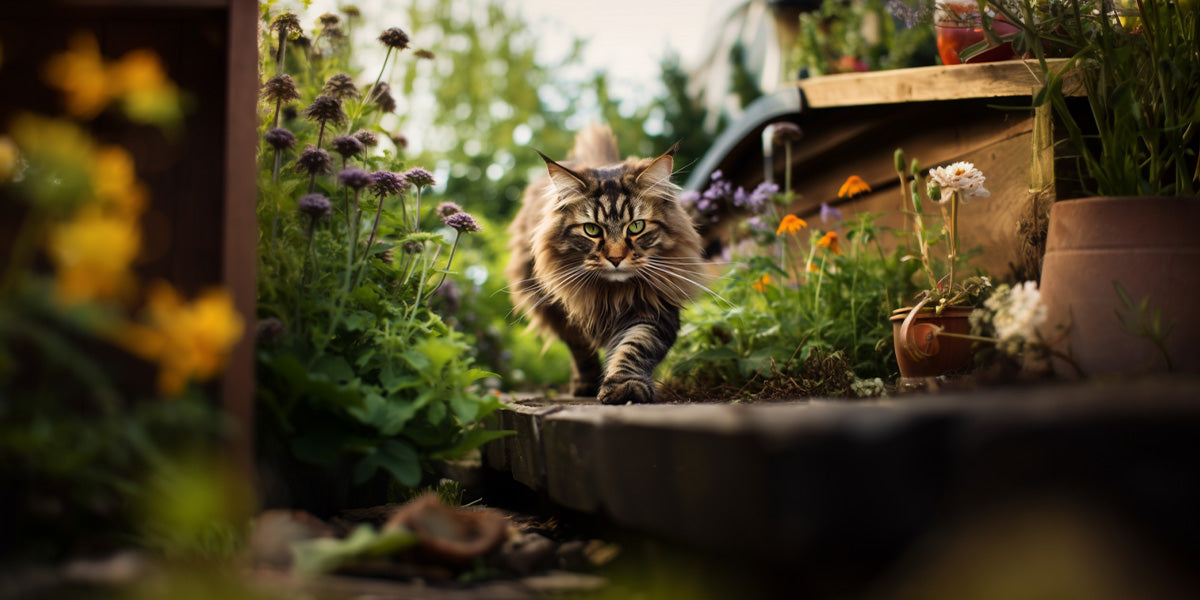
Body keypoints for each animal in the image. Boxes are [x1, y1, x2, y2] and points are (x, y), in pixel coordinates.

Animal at [504, 124, 705, 405]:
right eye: (592, 230)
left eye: (636, 226)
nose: (616, 258)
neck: (609, 294)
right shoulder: (565, 309)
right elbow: (581, 349)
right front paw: (592, 383)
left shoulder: (653, 307)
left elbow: (633, 347)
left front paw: (625, 387)